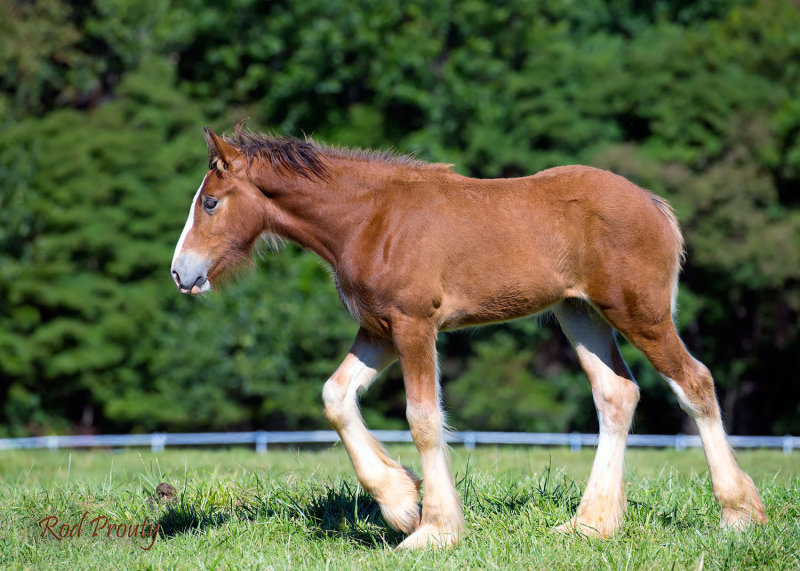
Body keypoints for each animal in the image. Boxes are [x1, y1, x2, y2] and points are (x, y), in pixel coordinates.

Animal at [172, 126, 764, 548]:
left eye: (210, 203)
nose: (181, 273)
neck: (370, 218)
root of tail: (654, 204)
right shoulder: (379, 329)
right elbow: (336, 397)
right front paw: (400, 502)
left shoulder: (414, 325)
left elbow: (422, 418)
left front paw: (433, 529)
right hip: (580, 314)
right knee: (617, 394)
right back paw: (589, 525)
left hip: (640, 314)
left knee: (695, 382)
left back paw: (739, 514)